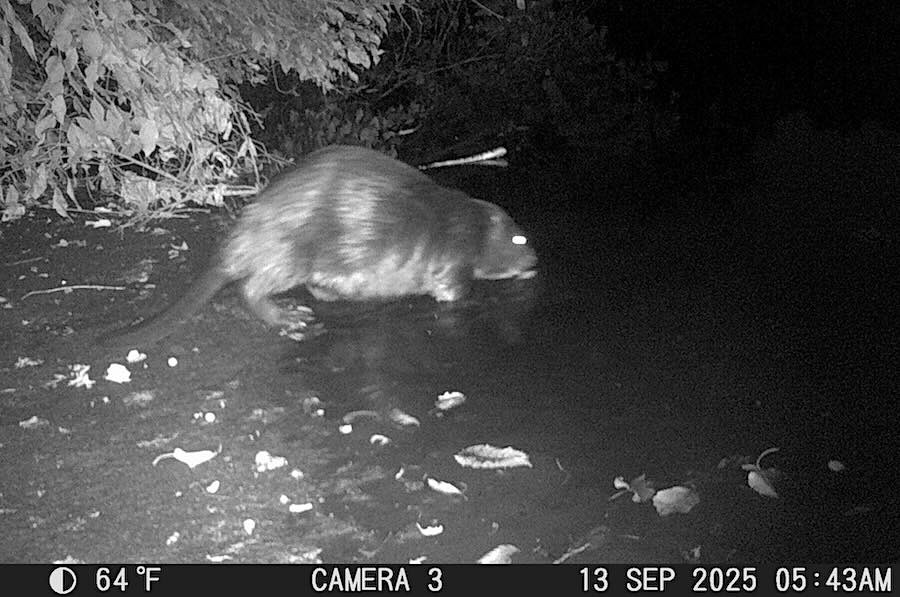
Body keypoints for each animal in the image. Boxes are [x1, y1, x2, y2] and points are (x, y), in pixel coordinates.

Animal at [101, 145, 536, 348]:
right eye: (520, 238)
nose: (536, 259)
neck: (468, 223)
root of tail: (238, 243)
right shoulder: (452, 258)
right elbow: (453, 291)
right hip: (291, 253)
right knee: (250, 287)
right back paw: (289, 318)